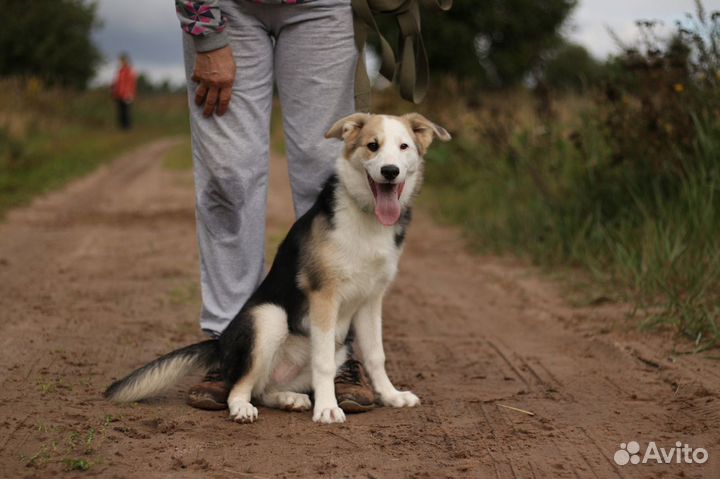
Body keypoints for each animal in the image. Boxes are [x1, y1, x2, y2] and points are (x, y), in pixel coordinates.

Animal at [102, 112, 450, 424]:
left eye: (404, 146)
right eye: (372, 146)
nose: (390, 172)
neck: (366, 219)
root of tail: (221, 343)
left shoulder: (371, 300)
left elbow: (377, 355)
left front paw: (391, 396)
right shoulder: (324, 297)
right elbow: (323, 363)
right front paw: (327, 409)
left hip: (333, 346)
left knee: (265, 388)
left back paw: (289, 398)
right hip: (268, 318)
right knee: (242, 386)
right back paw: (243, 408)